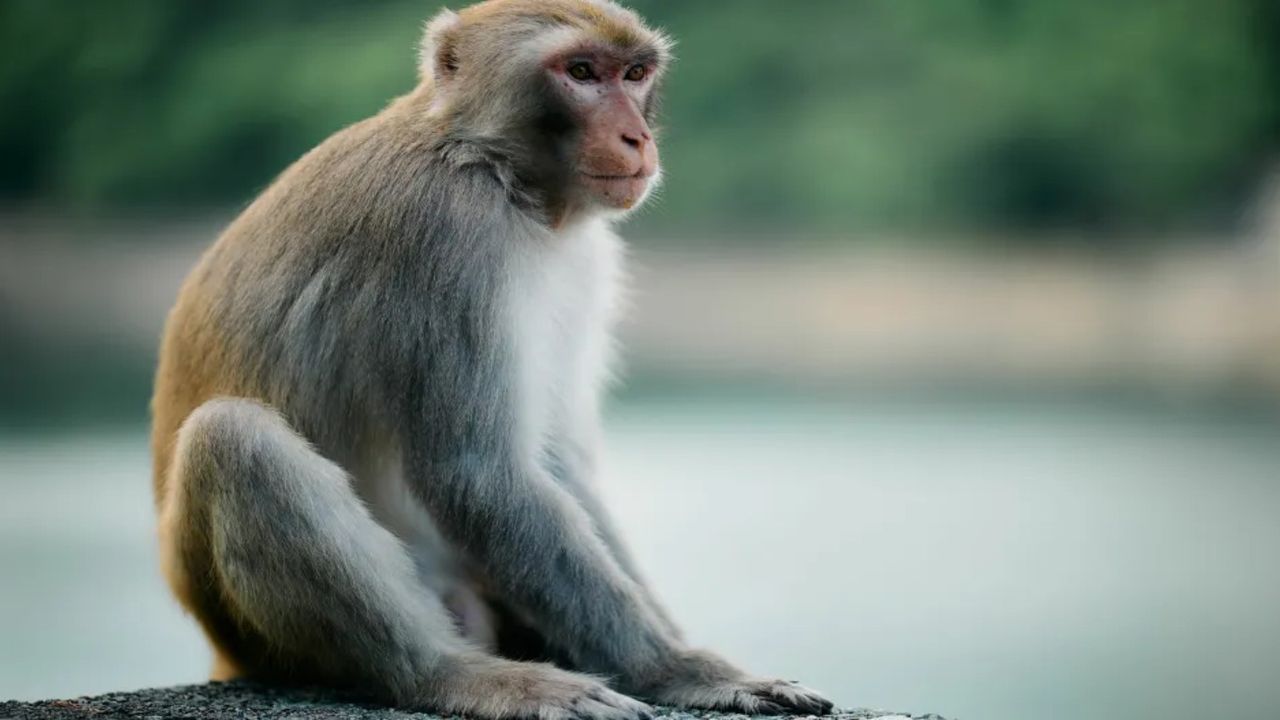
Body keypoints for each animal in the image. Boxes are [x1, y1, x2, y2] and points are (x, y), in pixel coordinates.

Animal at [149, 2, 834, 712]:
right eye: (581, 73)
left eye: (635, 74)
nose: (637, 138)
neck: (493, 167)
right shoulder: (447, 232)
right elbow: (477, 476)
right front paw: (677, 667)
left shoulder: (581, 258)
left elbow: (556, 463)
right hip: (246, 626)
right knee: (234, 438)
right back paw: (451, 674)